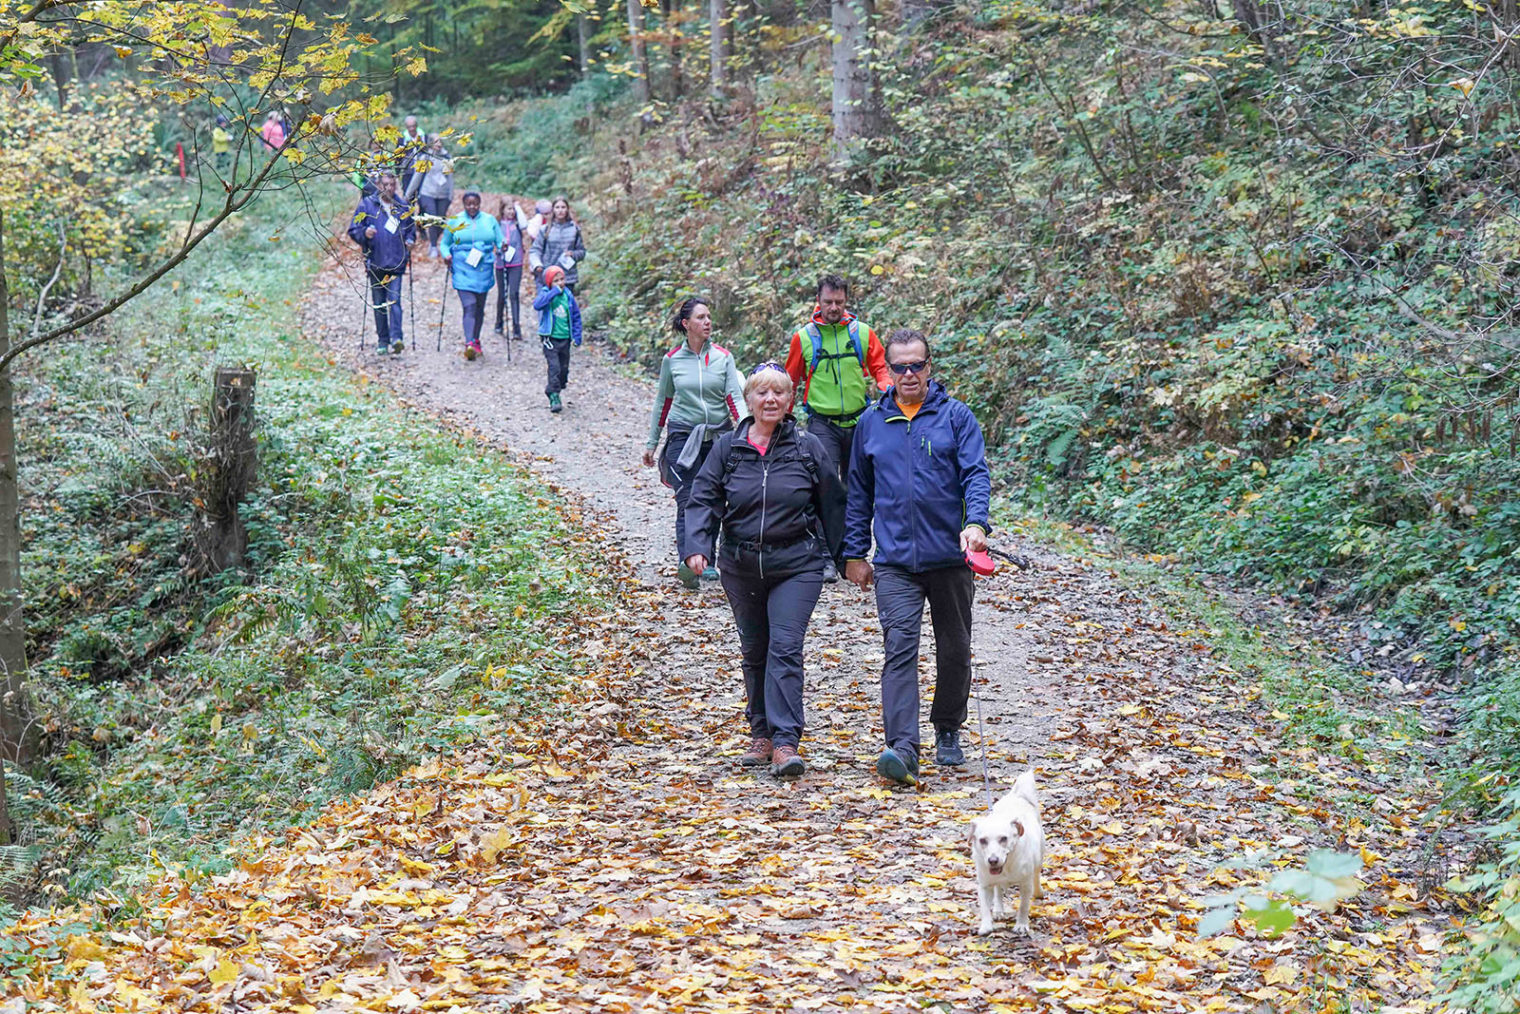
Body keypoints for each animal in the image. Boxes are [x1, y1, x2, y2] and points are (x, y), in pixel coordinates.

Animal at [972, 778, 1045, 936]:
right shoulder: (984, 885)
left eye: (1003, 838)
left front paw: (1021, 925)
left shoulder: (1025, 884)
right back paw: (998, 909)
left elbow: (1023, 906)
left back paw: (1038, 892)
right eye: (982, 840)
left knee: (1036, 874)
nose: (993, 860)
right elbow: (984, 907)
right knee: (998, 890)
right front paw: (986, 926)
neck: (1007, 867)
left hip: (1040, 856)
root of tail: (1017, 796)